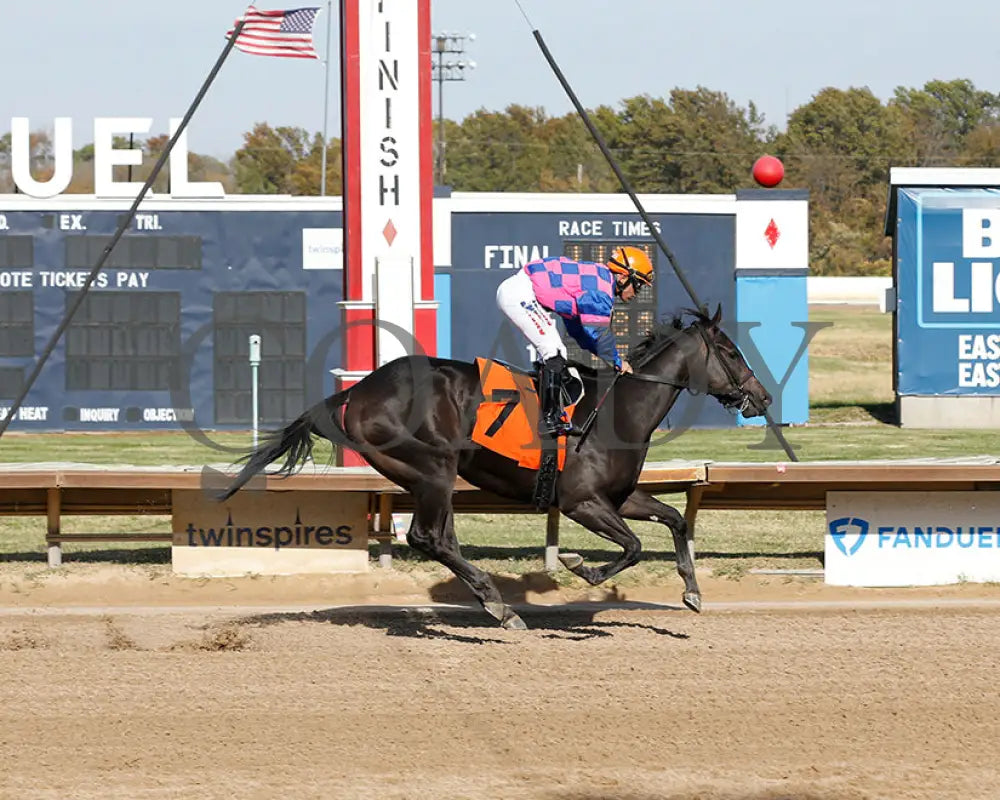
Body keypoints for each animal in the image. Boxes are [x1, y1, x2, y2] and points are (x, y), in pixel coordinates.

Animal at [220, 306, 771, 629]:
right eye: (729, 351)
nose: (762, 397)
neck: (621, 409)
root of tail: (355, 392)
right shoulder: (581, 502)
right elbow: (633, 547)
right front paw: (582, 567)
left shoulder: (618, 496)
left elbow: (675, 520)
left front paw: (693, 592)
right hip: (433, 466)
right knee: (425, 536)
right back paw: (498, 604)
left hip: (428, 476)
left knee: (441, 538)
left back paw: (491, 601)